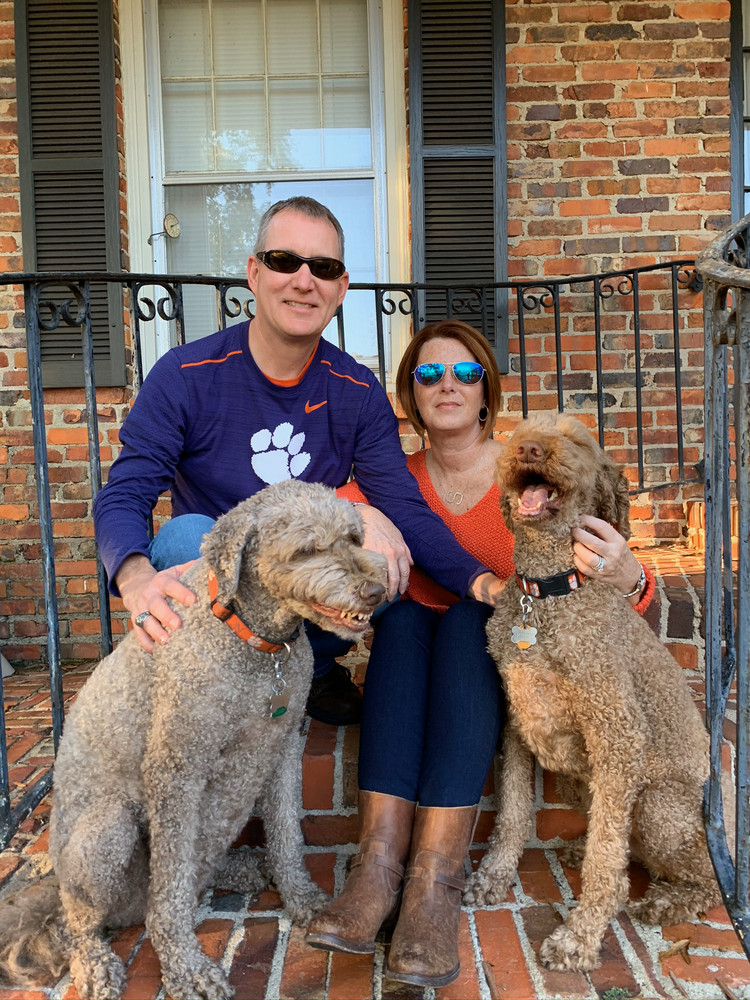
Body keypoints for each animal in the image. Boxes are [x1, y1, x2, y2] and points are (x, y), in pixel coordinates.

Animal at [0, 480, 386, 999]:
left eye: (353, 537)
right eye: (306, 550)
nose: (375, 589)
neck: (251, 639)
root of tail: (56, 885)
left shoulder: (282, 749)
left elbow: (287, 835)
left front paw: (302, 898)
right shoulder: (176, 767)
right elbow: (171, 887)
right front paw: (184, 965)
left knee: (193, 870)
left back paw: (242, 868)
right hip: (104, 833)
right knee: (81, 922)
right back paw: (95, 964)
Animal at [464, 414, 727, 972]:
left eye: (579, 441)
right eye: (521, 429)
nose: (530, 449)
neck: (547, 595)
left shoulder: (618, 736)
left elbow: (608, 863)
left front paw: (579, 939)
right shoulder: (519, 723)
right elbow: (513, 814)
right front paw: (495, 875)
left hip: (659, 806)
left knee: (699, 875)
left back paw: (666, 901)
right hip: (576, 779)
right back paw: (578, 848)